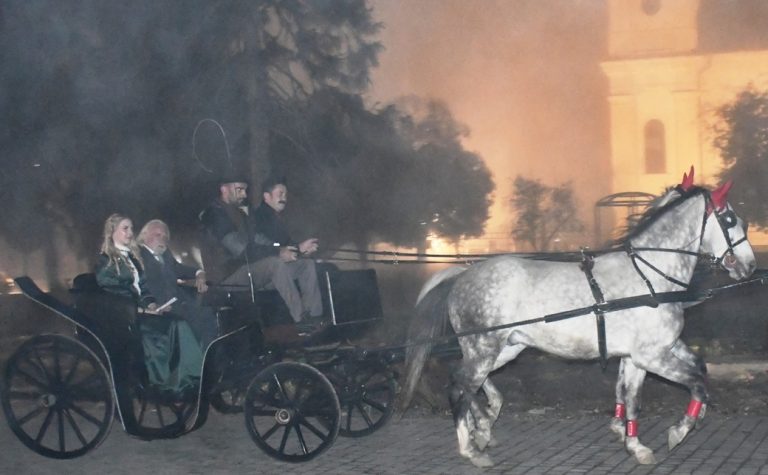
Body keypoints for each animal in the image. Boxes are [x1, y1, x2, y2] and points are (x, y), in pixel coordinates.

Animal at [402, 171, 756, 468]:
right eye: (730, 219)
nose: (750, 266)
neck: (649, 275)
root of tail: (462, 275)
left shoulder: (638, 356)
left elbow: (635, 396)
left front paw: (633, 442)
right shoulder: (651, 356)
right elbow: (693, 383)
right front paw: (678, 431)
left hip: (506, 347)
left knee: (466, 382)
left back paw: (484, 427)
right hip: (484, 348)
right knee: (459, 385)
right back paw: (472, 448)